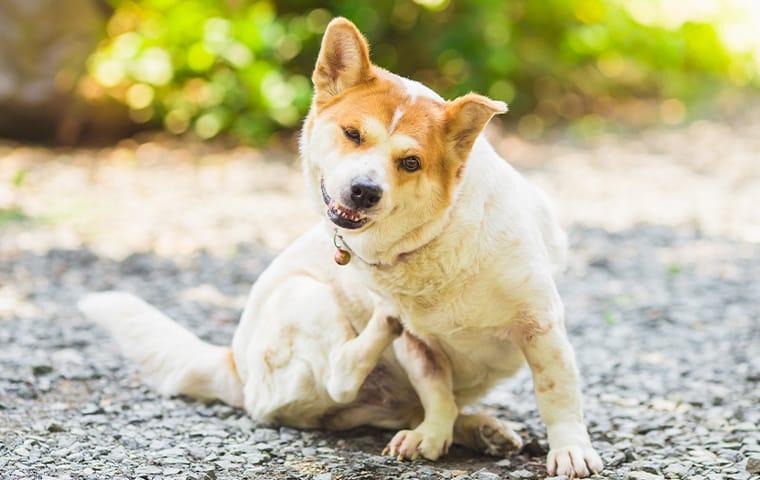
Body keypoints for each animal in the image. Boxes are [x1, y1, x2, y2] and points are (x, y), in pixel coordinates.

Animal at [77, 16, 600, 478]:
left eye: (411, 162)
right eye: (353, 134)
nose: (364, 191)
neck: (436, 238)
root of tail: (233, 365)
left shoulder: (541, 325)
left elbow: (556, 392)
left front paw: (569, 450)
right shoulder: (418, 346)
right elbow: (436, 390)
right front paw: (433, 434)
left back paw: (479, 429)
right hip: (306, 297)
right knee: (341, 376)